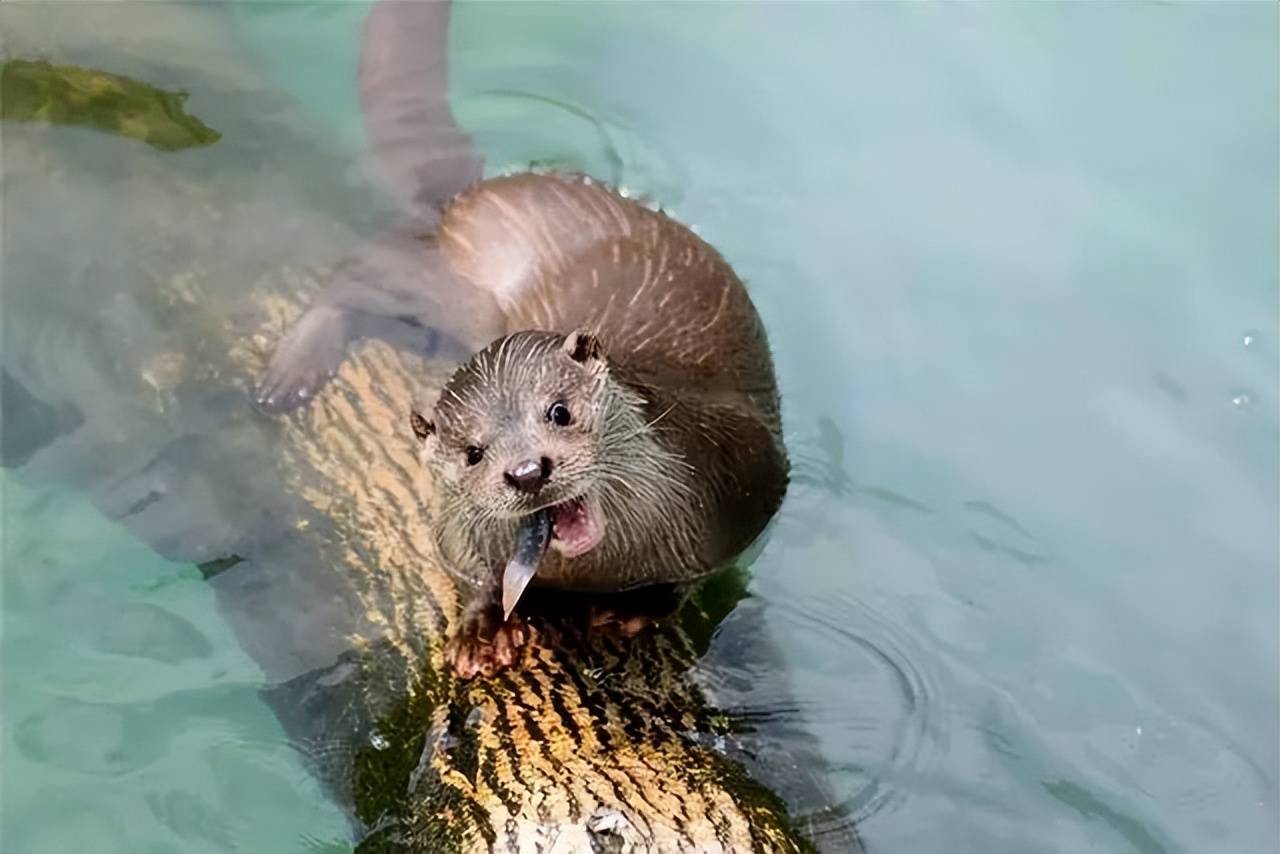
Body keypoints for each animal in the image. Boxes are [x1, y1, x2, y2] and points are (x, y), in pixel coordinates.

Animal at [254, 8, 783, 681]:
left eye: (559, 411)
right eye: (473, 453)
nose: (529, 471)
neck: (599, 570)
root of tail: (481, 191)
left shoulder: (745, 481)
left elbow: (706, 570)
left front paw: (640, 607)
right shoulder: (454, 528)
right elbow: (461, 564)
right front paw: (483, 626)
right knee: (353, 270)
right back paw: (294, 367)